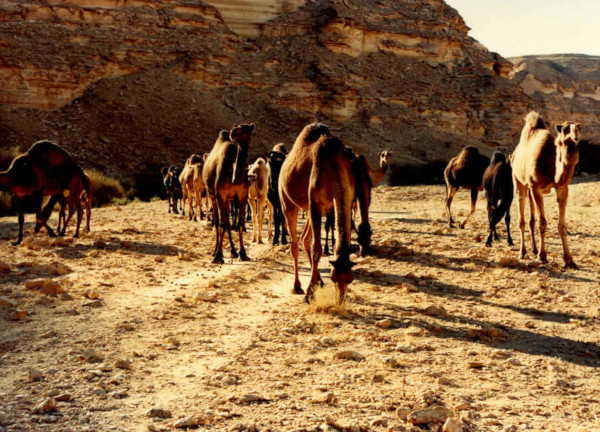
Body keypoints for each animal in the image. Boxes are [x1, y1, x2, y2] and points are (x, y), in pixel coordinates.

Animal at [202, 124, 253, 264]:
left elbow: (239, 224)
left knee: (227, 222)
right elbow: (222, 224)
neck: (234, 176)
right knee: (218, 220)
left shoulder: (242, 196)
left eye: (246, 128)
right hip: (212, 195)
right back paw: (215, 251)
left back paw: (233, 251)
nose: (233, 131)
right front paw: (218, 256)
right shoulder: (221, 195)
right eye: (237, 127)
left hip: (229, 200)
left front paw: (243, 253)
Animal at [280, 121, 358, 304]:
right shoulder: (315, 202)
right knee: (295, 242)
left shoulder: (339, 202)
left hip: (309, 209)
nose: (340, 300)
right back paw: (297, 286)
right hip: (287, 201)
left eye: (350, 279)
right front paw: (309, 294)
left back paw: (318, 282)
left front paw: (315, 287)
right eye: (334, 277)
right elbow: (317, 249)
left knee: (304, 238)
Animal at [510, 110, 580, 270]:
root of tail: (514, 153)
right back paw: (523, 253)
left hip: (529, 187)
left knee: (531, 219)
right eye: (565, 129)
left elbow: (562, 225)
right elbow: (542, 222)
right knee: (522, 217)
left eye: (579, 127)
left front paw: (569, 260)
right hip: (519, 182)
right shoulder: (536, 187)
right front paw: (542, 256)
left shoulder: (562, 188)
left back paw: (534, 250)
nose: (575, 134)